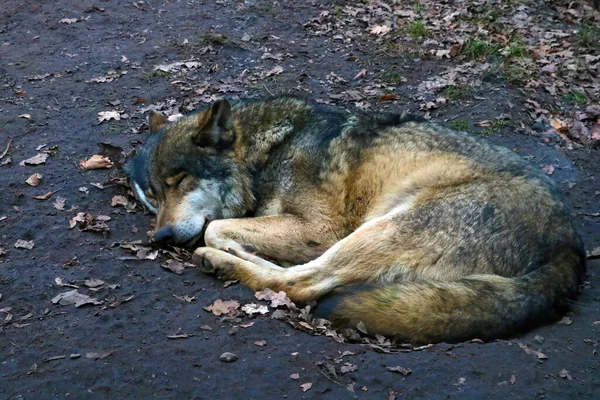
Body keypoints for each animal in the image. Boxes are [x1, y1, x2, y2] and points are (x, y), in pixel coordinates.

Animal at [124, 97, 584, 344]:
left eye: (180, 181)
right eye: (152, 199)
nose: (161, 237)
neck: (266, 152)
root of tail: (570, 247)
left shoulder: (320, 230)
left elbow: (216, 227)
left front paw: (230, 247)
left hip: (382, 228)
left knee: (305, 284)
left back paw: (223, 262)